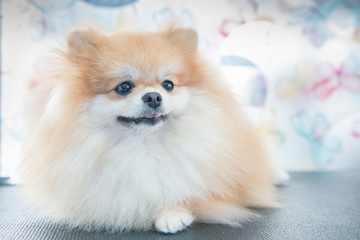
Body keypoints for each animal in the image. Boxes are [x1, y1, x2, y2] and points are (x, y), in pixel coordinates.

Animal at [20, 25, 282, 233]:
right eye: (124, 87)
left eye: (168, 85)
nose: (154, 96)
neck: (143, 145)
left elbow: (195, 194)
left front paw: (172, 213)